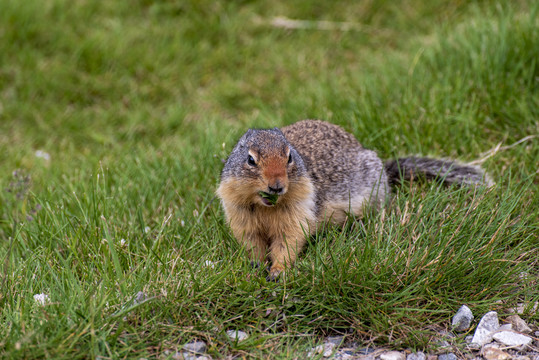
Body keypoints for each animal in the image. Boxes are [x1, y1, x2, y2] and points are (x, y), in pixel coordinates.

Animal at [216, 119, 494, 280]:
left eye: (289, 157)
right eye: (250, 159)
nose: (276, 186)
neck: (265, 207)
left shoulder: (298, 210)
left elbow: (289, 241)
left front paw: (277, 271)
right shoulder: (239, 213)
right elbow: (251, 243)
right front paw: (255, 266)